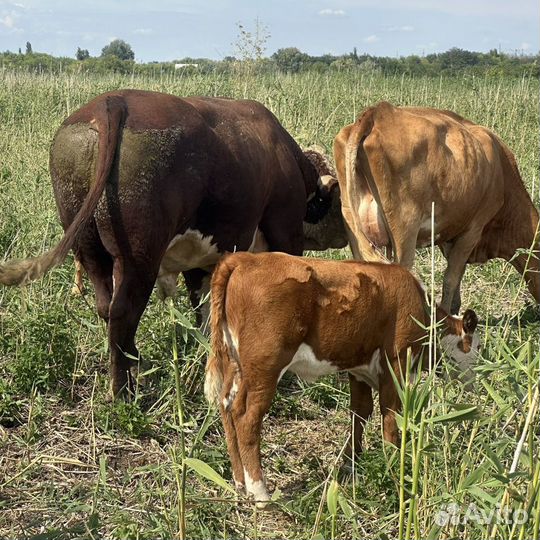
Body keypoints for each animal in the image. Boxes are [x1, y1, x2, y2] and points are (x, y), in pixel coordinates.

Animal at [0, 89, 338, 396]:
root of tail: (111, 102)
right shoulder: (285, 232)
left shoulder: (200, 259)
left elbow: (204, 310)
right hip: (139, 256)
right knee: (123, 311)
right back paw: (122, 391)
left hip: (89, 247)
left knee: (106, 307)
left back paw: (134, 364)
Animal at [205, 252, 478, 506]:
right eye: (476, 348)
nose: (476, 384)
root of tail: (245, 258)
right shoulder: (396, 362)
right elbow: (390, 415)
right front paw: (392, 463)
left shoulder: (359, 367)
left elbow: (360, 412)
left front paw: (352, 462)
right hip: (265, 367)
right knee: (247, 418)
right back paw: (260, 494)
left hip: (236, 364)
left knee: (227, 407)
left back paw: (240, 483)